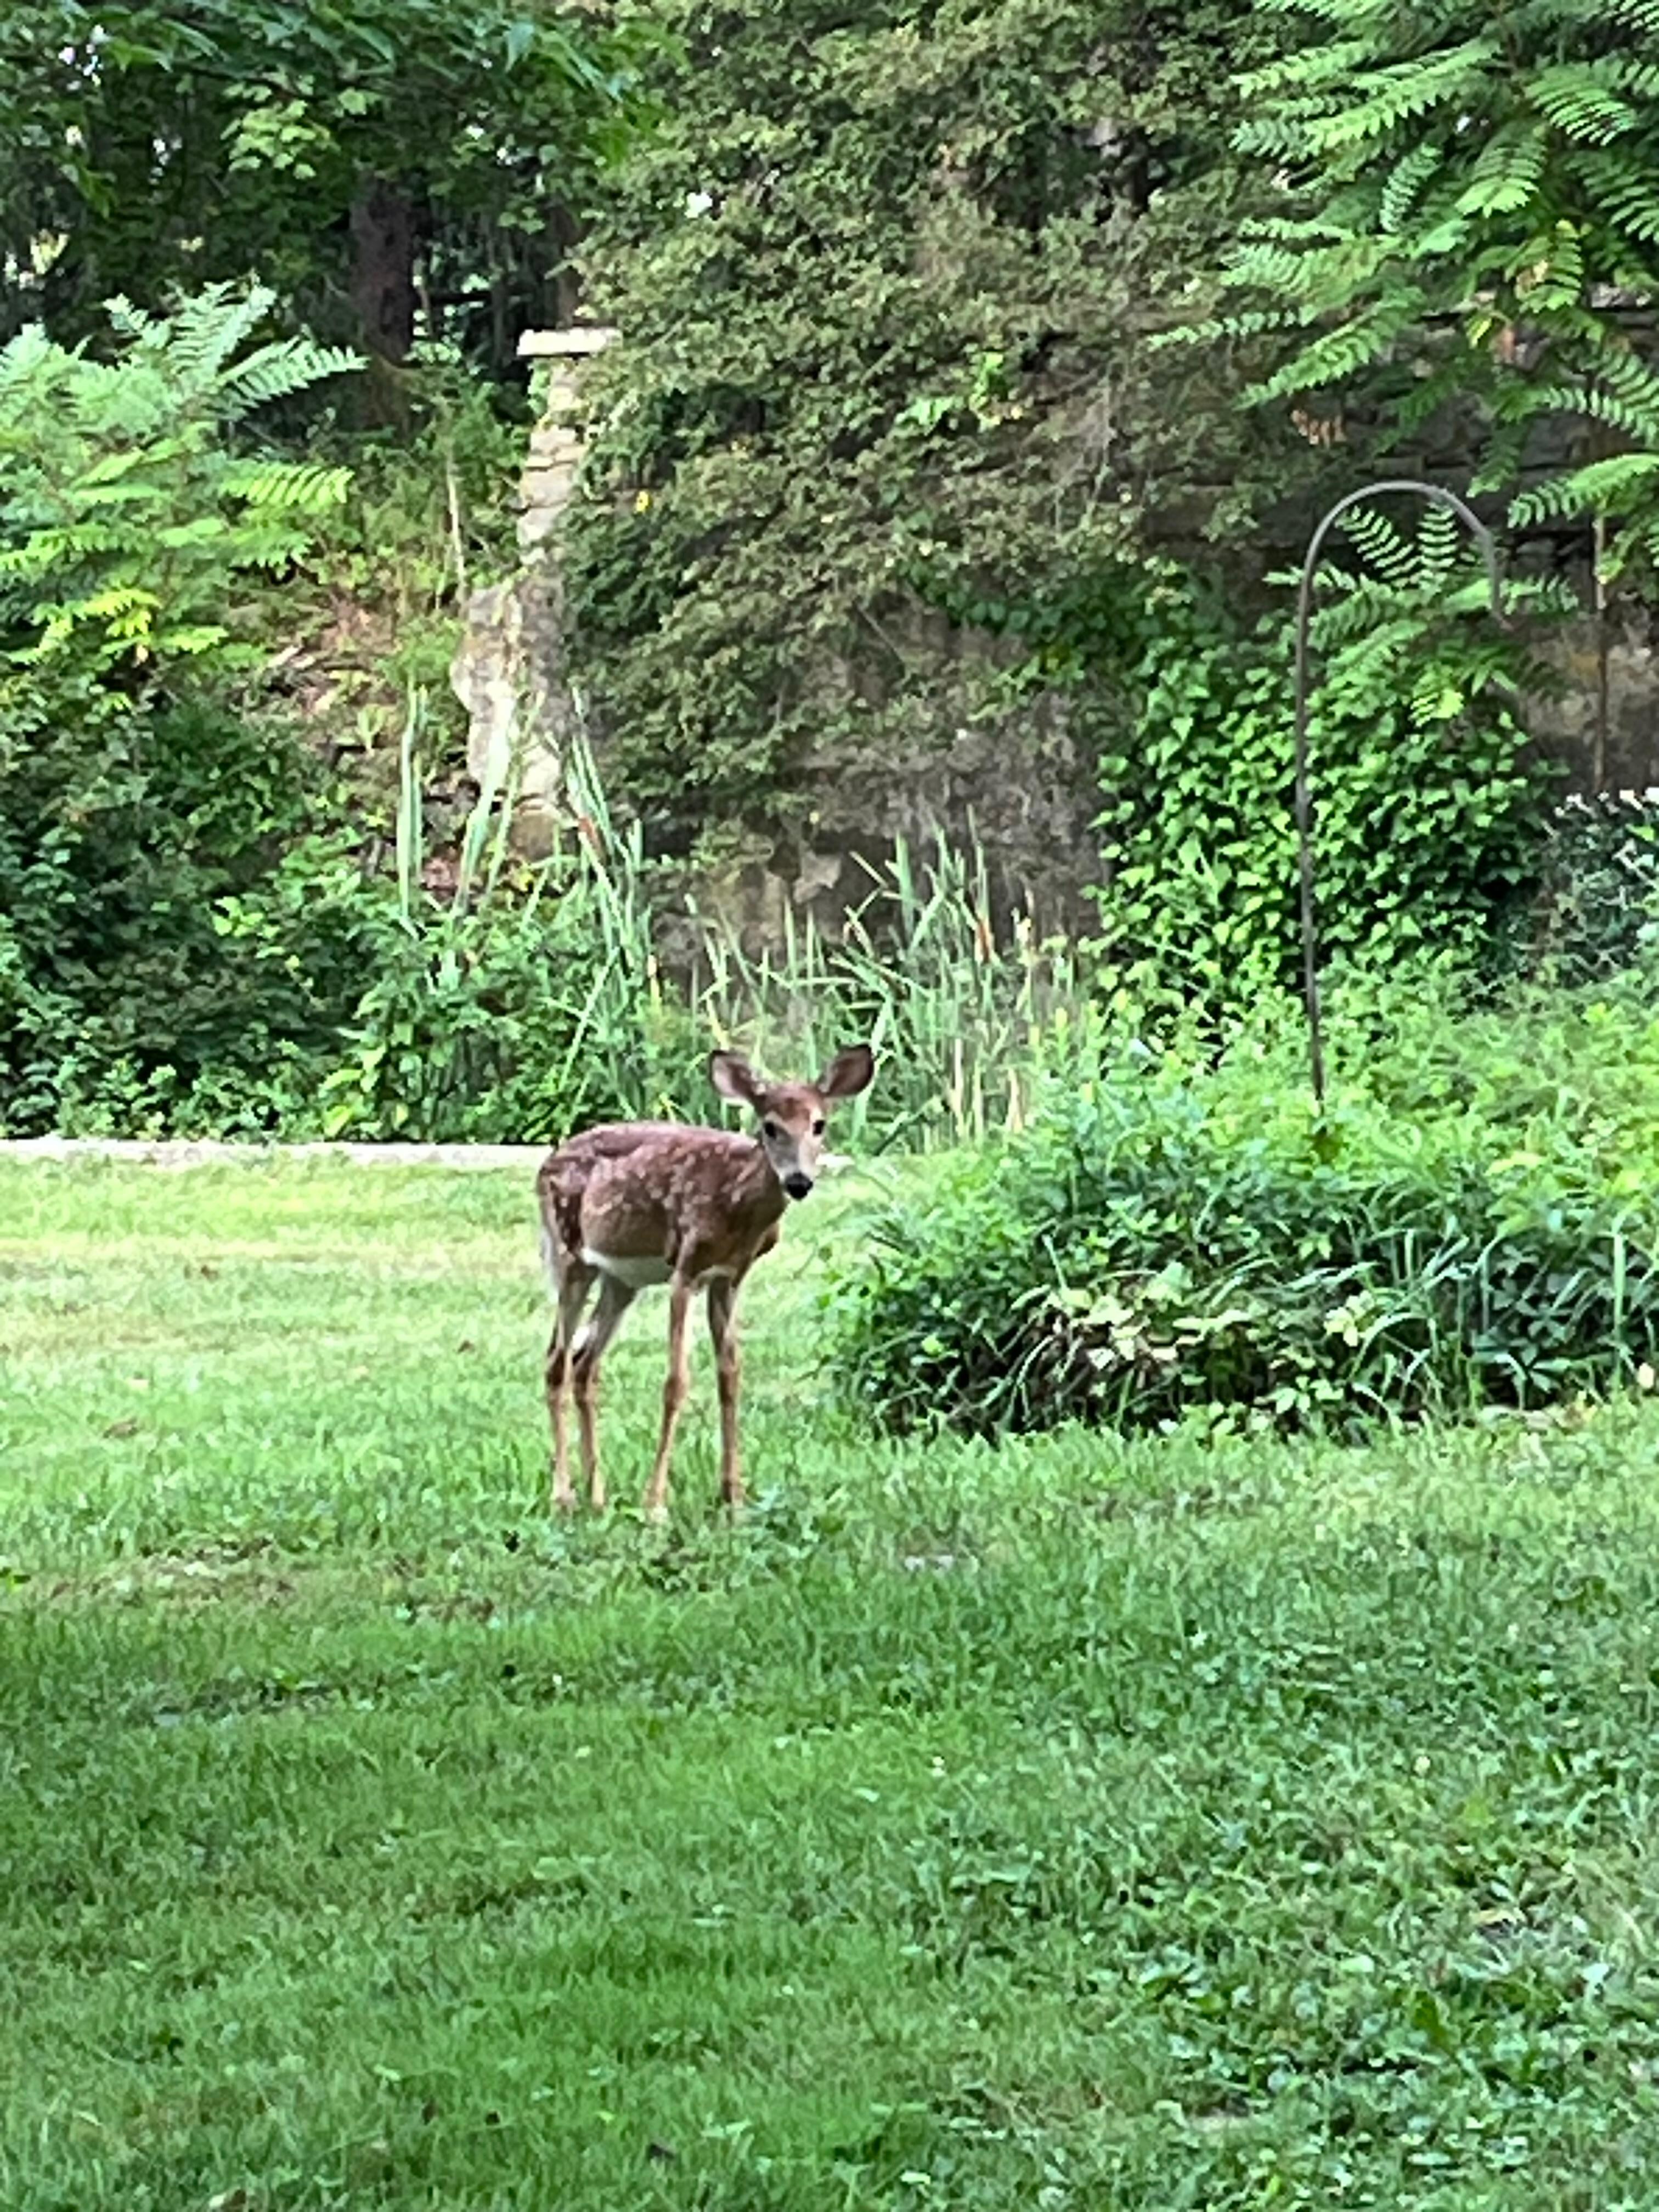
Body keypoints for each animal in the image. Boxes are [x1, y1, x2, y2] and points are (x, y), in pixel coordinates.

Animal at [536, 1044, 876, 1519]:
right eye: (770, 1127)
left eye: (819, 1125)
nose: (799, 1182)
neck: (737, 1206)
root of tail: (544, 1167)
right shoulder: (686, 1269)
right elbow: (676, 1383)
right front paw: (656, 1506)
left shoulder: (729, 1278)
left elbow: (730, 1376)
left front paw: (734, 1497)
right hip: (571, 1257)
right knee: (556, 1360)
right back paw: (564, 1497)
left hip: (621, 1280)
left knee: (584, 1364)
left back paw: (597, 1496)